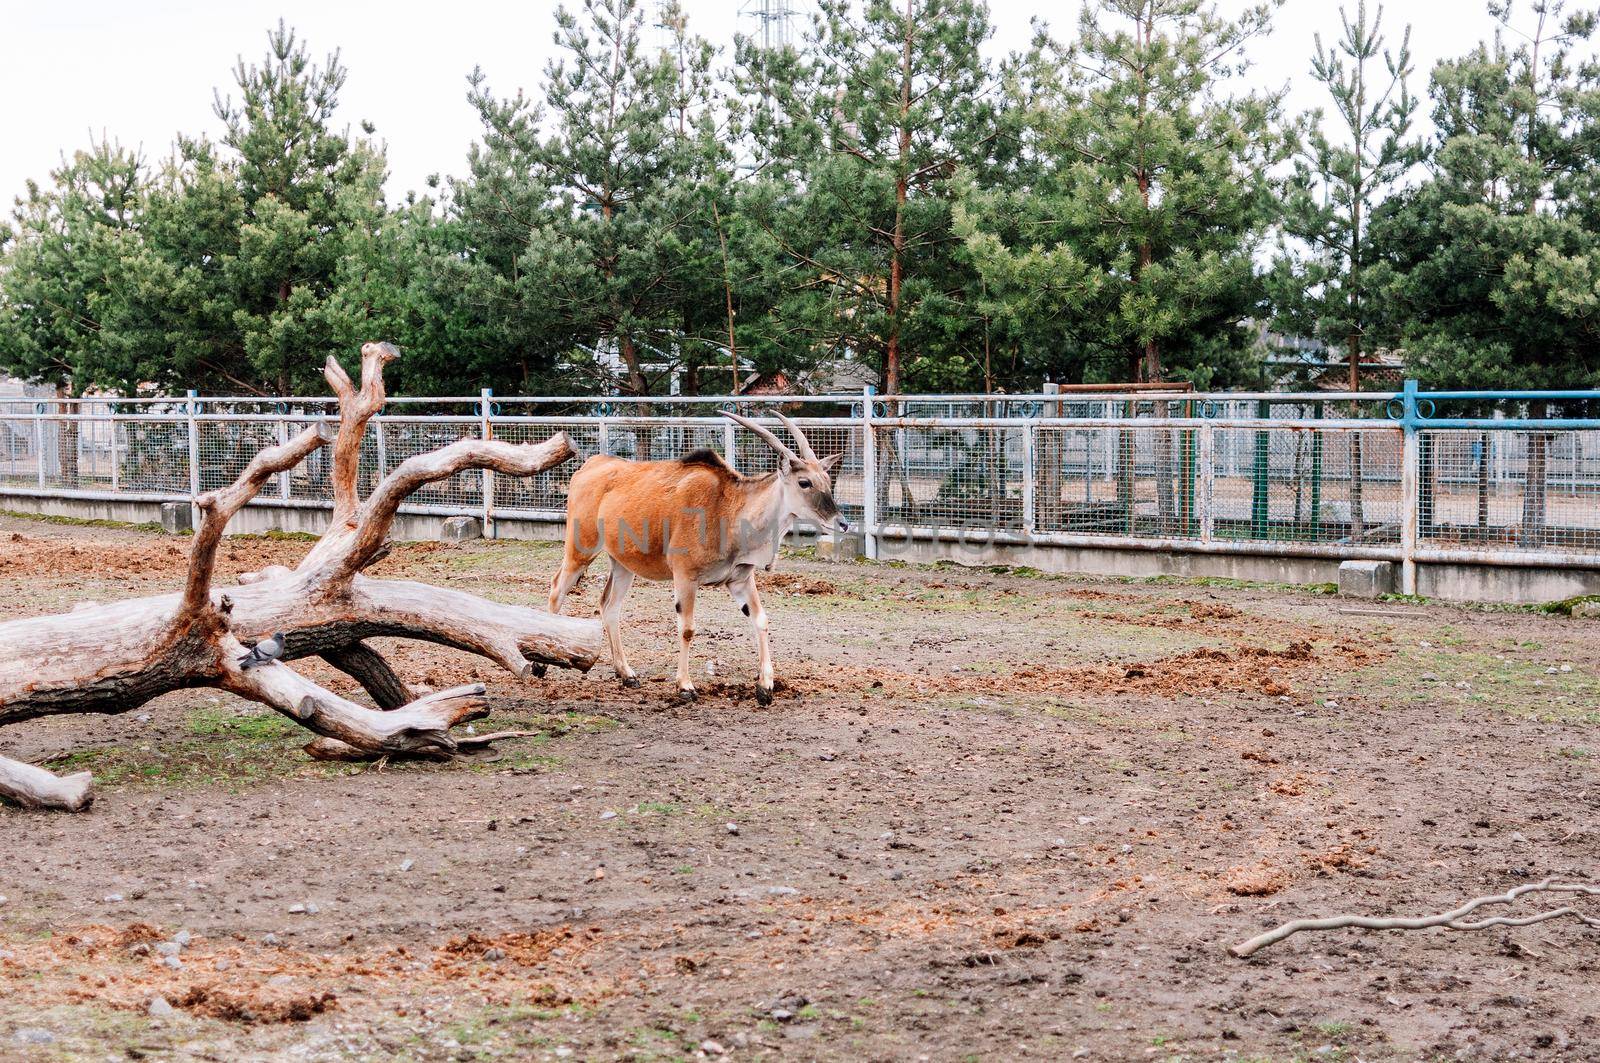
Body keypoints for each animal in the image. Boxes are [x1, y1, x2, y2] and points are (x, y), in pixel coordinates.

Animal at [550, 409, 851, 701]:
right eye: (804, 482)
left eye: (826, 479)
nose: (842, 523)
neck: (729, 509)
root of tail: (590, 465)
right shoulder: (685, 577)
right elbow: (687, 628)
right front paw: (685, 686)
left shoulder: (740, 580)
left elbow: (761, 619)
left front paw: (765, 686)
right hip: (580, 551)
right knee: (557, 590)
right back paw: (545, 664)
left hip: (623, 565)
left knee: (609, 606)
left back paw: (626, 674)